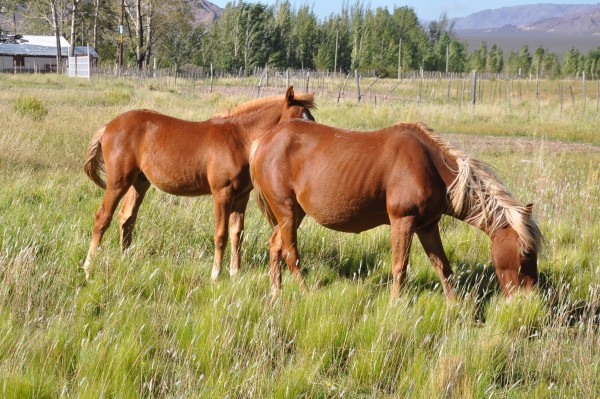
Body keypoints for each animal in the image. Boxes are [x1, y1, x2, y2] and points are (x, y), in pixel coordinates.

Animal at [85, 86, 318, 282]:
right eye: (299, 118)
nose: (310, 140)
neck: (240, 139)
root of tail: (109, 126)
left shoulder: (242, 195)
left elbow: (237, 233)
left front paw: (235, 273)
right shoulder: (222, 192)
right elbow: (221, 234)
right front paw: (216, 274)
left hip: (139, 182)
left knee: (127, 217)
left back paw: (126, 257)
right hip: (118, 181)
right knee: (103, 216)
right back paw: (89, 265)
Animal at [250, 120, 544, 302]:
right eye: (525, 252)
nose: (529, 300)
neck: (431, 167)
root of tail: (263, 142)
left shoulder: (427, 225)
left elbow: (443, 267)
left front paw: (455, 305)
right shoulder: (404, 221)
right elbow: (400, 266)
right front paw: (394, 304)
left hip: (294, 214)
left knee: (275, 246)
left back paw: (276, 293)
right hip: (286, 211)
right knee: (291, 253)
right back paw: (306, 293)